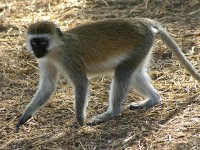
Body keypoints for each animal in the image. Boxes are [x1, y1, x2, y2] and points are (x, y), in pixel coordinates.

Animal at [16, 17, 200, 131]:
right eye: (34, 41)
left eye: (42, 41)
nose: (36, 50)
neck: (55, 49)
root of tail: (141, 22)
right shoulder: (45, 60)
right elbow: (47, 87)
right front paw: (25, 115)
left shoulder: (69, 58)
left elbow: (81, 83)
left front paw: (79, 120)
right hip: (143, 47)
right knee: (134, 74)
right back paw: (153, 99)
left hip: (142, 42)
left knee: (122, 73)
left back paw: (112, 113)